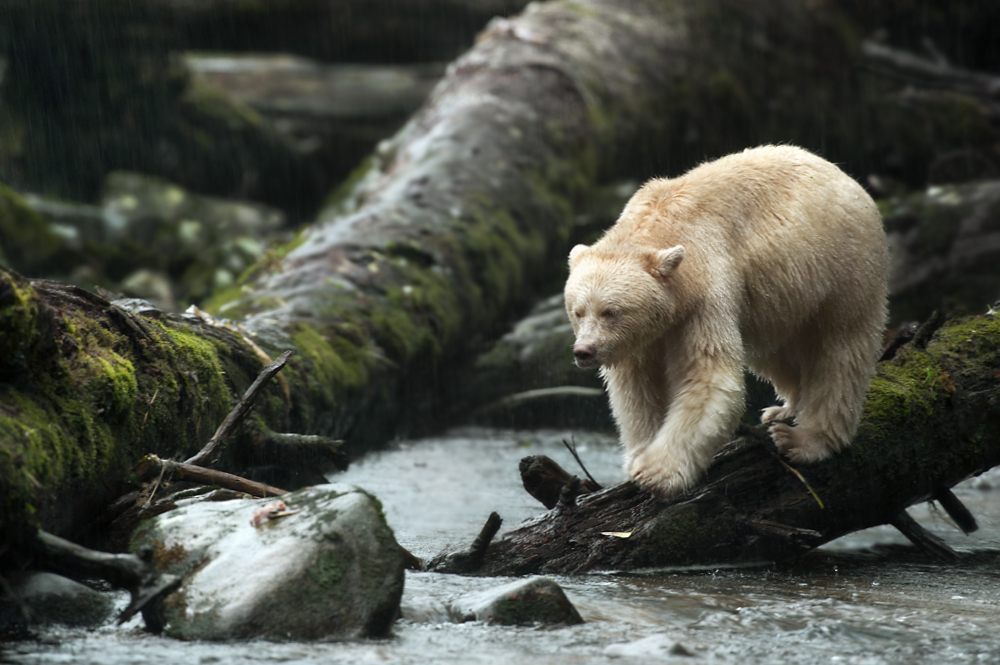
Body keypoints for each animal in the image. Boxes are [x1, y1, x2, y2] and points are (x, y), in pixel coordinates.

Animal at [564, 145, 888, 496]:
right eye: (577, 311)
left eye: (611, 311)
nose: (584, 351)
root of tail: (844, 175)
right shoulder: (641, 339)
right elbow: (637, 389)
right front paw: (639, 456)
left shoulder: (705, 291)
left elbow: (709, 377)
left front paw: (656, 473)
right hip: (778, 300)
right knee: (775, 352)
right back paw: (784, 407)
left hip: (844, 266)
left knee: (841, 351)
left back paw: (803, 440)